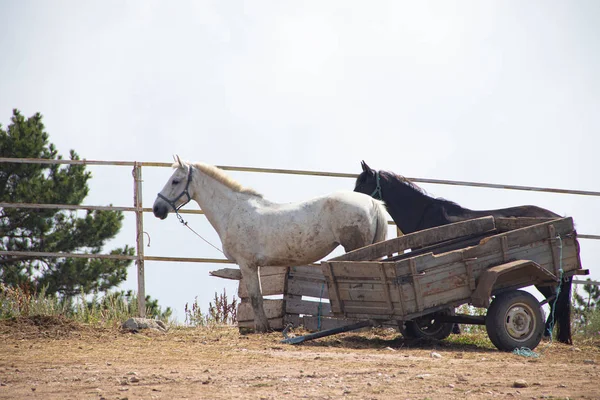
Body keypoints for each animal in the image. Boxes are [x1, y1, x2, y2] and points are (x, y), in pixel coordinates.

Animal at [154, 155, 390, 332]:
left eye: (175, 181)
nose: (157, 209)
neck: (233, 210)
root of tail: (372, 202)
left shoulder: (247, 265)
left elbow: (256, 298)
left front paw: (261, 329)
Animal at [354, 160, 576, 344]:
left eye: (362, 185)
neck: (425, 215)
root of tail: (559, 219)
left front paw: (453, 328)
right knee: (558, 301)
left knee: (556, 301)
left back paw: (546, 334)